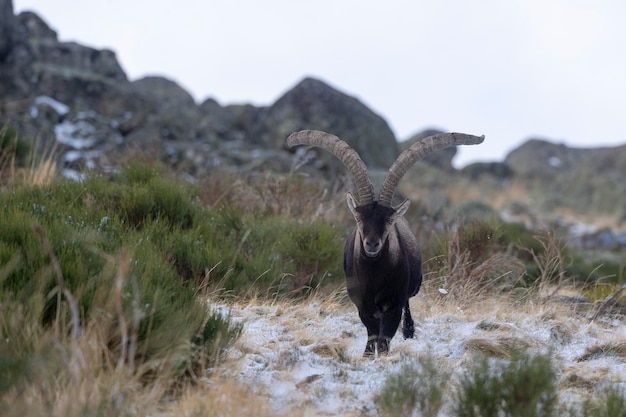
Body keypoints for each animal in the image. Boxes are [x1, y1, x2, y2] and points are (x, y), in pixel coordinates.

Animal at [288, 128, 482, 356]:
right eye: (358, 218)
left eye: (389, 220)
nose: (372, 244)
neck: (375, 277)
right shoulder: (362, 305)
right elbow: (372, 333)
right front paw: (367, 355)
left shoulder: (394, 304)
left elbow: (385, 336)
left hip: (413, 287)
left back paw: (409, 330)